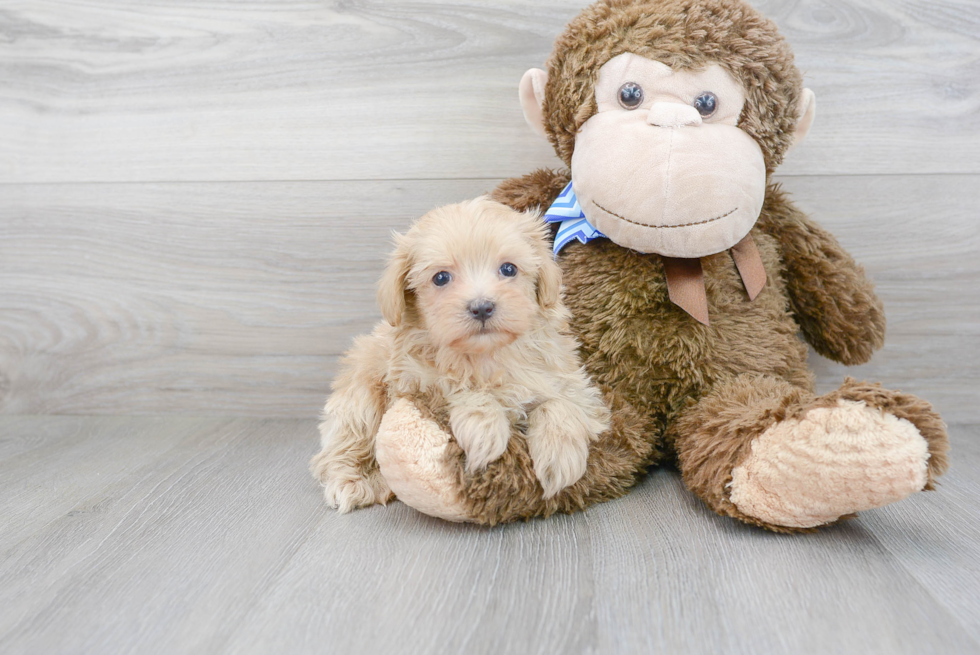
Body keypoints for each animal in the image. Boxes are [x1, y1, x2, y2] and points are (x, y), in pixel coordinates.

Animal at [310, 195, 608, 512]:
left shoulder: (575, 384)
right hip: (360, 396)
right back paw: (353, 482)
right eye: (441, 278)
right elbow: (458, 386)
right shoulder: (413, 382)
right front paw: (484, 430)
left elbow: (561, 404)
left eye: (509, 269)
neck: (486, 355)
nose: (482, 307)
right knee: (342, 447)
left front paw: (560, 457)